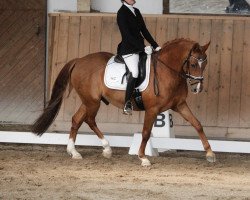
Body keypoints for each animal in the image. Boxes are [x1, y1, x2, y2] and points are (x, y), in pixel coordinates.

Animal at [31, 38, 215, 166]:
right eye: (193, 64)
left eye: (205, 63)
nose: (197, 88)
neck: (168, 70)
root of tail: (79, 60)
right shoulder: (152, 109)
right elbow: (146, 133)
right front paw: (143, 158)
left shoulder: (180, 105)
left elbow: (197, 124)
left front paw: (210, 154)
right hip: (92, 102)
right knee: (89, 119)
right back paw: (105, 148)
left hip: (89, 100)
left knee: (77, 119)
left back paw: (75, 152)